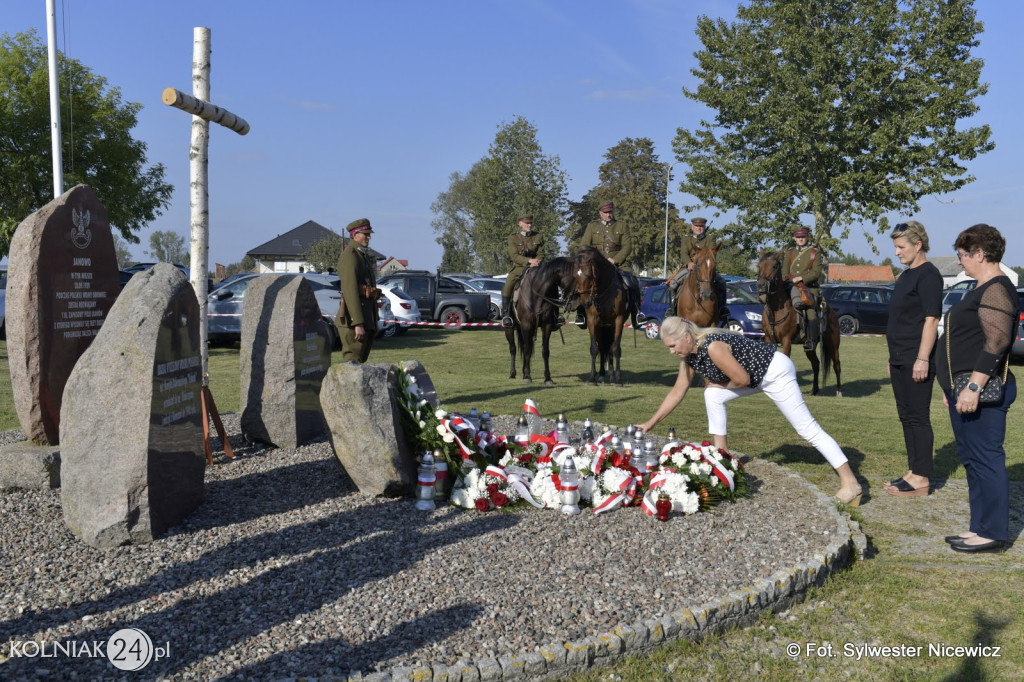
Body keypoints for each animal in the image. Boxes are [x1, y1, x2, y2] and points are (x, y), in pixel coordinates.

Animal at [573, 246, 626, 385]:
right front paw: (592, 378)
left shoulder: (618, 320)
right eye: (575, 276)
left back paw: (612, 376)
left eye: (589, 275)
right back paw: (602, 374)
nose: (585, 302)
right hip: (602, 327)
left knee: (610, 347)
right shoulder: (592, 321)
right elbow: (594, 349)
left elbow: (616, 349)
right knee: (603, 348)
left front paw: (618, 379)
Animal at [757, 250, 843, 395]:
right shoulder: (769, 340)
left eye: (774, 266)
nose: (762, 286)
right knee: (816, 364)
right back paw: (814, 390)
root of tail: (831, 311)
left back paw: (839, 391)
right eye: (759, 265)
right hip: (810, 347)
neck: (777, 309)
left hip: (832, 344)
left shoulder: (786, 341)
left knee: (837, 365)